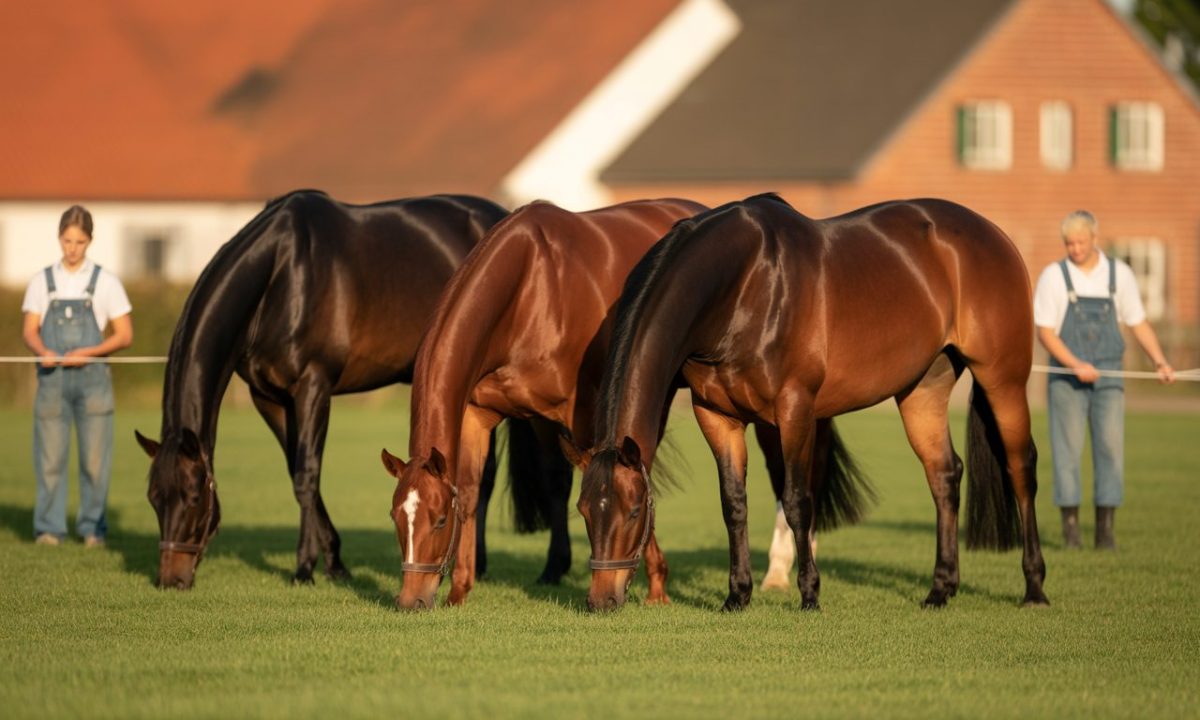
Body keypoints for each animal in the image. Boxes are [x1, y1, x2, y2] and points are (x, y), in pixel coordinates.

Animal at [133, 190, 557, 590]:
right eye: (152, 498)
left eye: (192, 497)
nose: (170, 579)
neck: (281, 275)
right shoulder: (269, 399)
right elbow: (298, 474)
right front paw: (335, 564)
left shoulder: (313, 387)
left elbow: (306, 476)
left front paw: (304, 568)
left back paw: (509, 567)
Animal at [379, 198, 709, 610]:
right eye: (395, 517)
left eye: (439, 520)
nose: (410, 600)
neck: (529, 290)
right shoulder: (481, 416)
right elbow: (473, 492)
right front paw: (460, 589)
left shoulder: (579, 413)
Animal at [580, 193, 1048, 612]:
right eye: (584, 510)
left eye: (635, 509)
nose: (602, 599)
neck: (743, 286)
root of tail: (993, 234)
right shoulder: (716, 415)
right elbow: (733, 504)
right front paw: (737, 595)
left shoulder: (795, 409)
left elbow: (797, 500)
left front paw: (809, 594)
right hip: (924, 387)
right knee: (944, 474)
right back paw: (940, 590)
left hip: (1003, 378)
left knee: (1020, 467)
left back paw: (1034, 587)